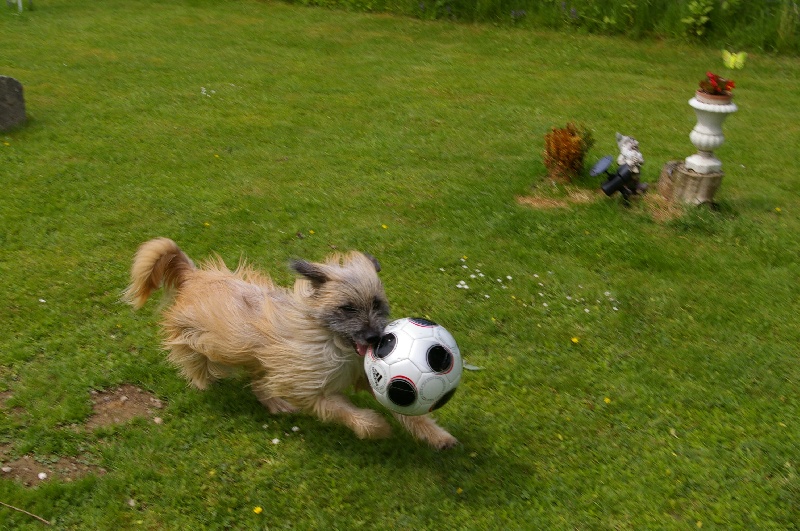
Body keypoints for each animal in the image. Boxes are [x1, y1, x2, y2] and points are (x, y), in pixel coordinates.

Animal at [119, 239, 456, 450]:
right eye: (348, 308)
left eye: (376, 304)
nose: (376, 338)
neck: (330, 340)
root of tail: (193, 276)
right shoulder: (309, 389)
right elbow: (343, 411)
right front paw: (375, 427)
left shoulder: (373, 379)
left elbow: (409, 411)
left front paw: (437, 436)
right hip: (208, 343)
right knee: (197, 363)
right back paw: (205, 383)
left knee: (258, 382)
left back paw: (273, 402)